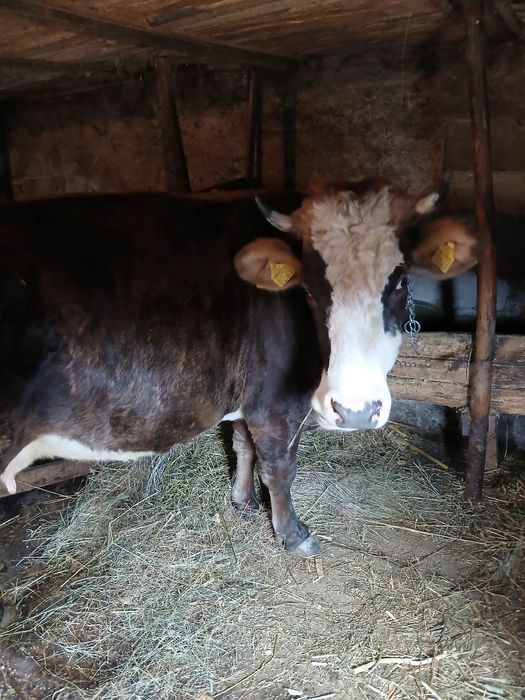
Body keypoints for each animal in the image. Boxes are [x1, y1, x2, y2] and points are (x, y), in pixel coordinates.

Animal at [0, 179, 478, 556]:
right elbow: (280, 467)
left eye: (399, 281)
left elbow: (242, 445)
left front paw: (243, 501)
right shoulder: (277, 402)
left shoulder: (248, 397)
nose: (356, 411)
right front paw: (293, 536)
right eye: (308, 289)